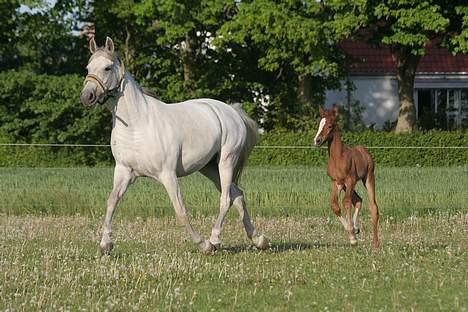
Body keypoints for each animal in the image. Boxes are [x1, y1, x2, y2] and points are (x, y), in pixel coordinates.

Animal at [80, 37, 268, 256]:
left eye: (107, 67)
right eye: (88, 68)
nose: (87, 96)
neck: (138, 124)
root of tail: (232, 111)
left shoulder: (167, 175)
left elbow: (180, 210)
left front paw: (203, 244)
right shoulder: (124, 172)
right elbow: (111, 202)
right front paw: (105, 245)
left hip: (226, 163)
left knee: (226, 199)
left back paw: (214, 240)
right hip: (209, 168)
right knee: (236, 195)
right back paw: (258, 240)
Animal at [312, 106, 378, 247]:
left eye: (330, 126)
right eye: (319, 124)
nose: (317, 141)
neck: (338, 158)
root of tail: (365, 151)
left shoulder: (350, 180)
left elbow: (346, 203)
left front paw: (352, 237)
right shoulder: (336, 182)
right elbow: (335, 205)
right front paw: (351, 230)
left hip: (367, 178)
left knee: (373, 206)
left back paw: (376, 243)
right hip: (345, 186)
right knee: (358, 200)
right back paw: (356, 227)